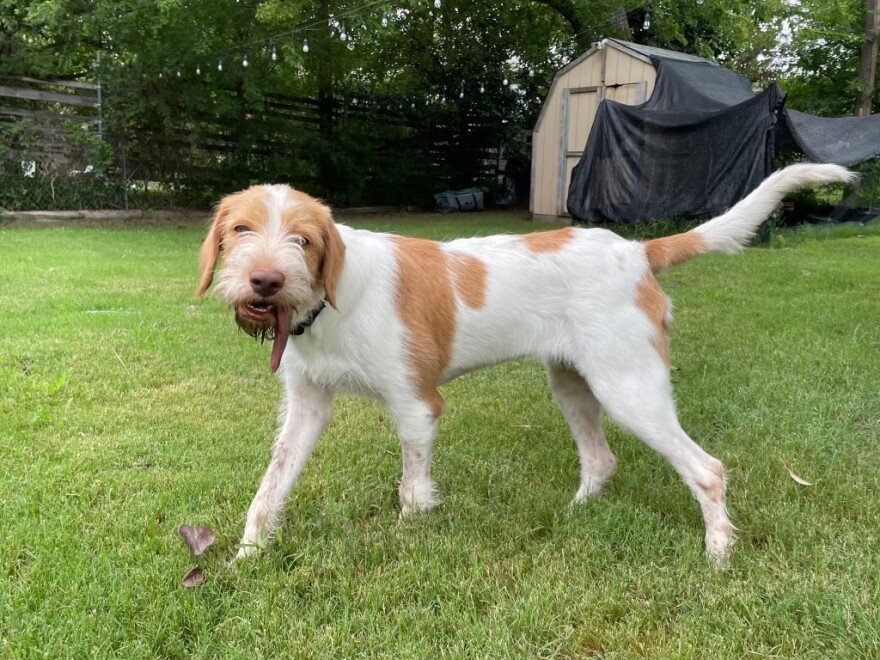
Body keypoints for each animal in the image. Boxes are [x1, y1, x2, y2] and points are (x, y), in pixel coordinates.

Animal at [198, 164, 852, 564]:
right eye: (240, 229)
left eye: (304, 239)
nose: (264, 282)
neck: (330, 301)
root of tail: (638, 251)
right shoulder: (306, 405)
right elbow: (271, 485)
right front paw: (247, 556)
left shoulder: (416, 404)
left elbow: (411, 488)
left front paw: (408, 543)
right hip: (572, 384)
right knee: (602, 458)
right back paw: (577, 512)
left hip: (630, 389)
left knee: (708, 469)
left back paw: (718, 553)